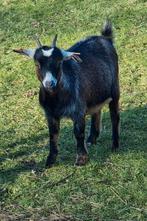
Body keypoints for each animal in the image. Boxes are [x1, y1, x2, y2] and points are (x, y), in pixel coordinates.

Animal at [13, 21, 119, 167]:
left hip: (115, 89)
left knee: (115, 116)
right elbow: (53, 135)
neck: (56, 100)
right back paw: (92, 139)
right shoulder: (50, 114)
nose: (49, 83)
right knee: (96, 110)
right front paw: (50, 161)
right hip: (95, 92)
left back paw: (115, 146)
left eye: (59, 62)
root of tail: (105, 38)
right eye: (37, 64)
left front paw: (81, 159)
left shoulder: (78, 111)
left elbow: (78, 133)